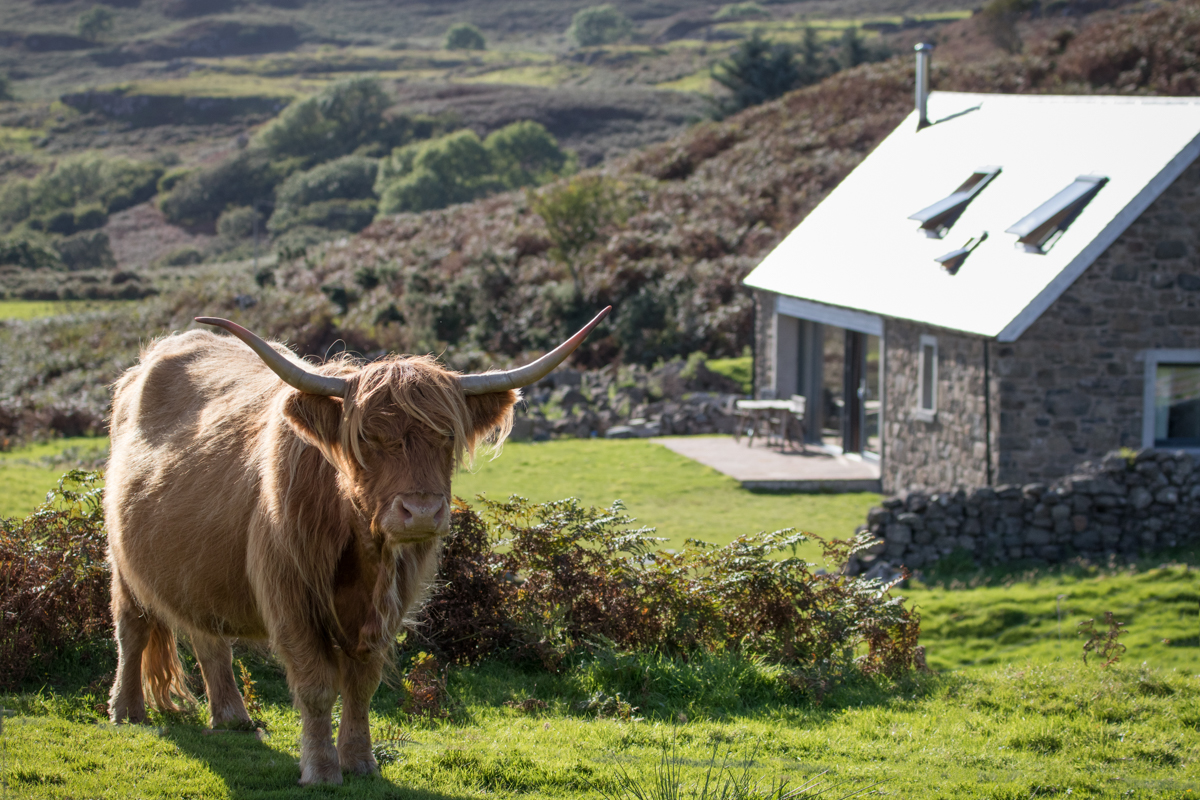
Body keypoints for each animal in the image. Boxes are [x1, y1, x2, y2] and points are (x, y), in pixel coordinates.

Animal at [104, 309, 609, 786]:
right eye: (368, 437)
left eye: (447, 436)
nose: (421, 512)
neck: (361, 552)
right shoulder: (291, 599)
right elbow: (316, 686)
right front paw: (322, 769)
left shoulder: (389, 605)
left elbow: (362, 685)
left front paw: (361, 761)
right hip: (122, 562)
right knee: (131, 629)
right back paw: (126, 711)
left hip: (196, 568)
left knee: (208, 637)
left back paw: (231, 718)